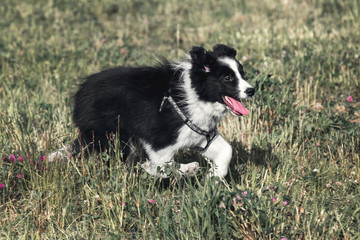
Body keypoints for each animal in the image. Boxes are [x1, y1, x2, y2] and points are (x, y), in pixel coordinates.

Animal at [50, 43, 255, 178]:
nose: (251, 90)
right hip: (112, 133)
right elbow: (164, 165)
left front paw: (214, 177)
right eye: (228, 78)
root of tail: (81, 93)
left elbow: (226, 150)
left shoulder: (199, 133)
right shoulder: (159, 137)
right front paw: (188, 169)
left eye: (242, 74)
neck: (196, 95)